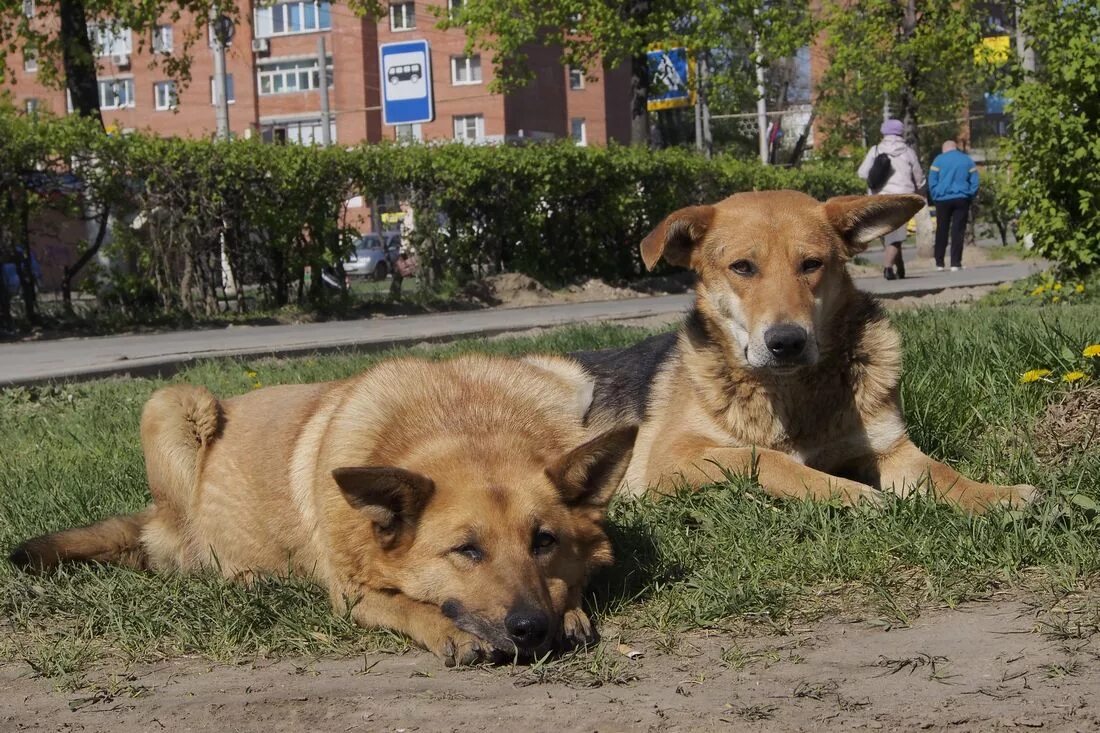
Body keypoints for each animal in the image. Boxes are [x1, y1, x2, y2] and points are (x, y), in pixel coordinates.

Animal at [10, 352, 638, 660]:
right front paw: (446, 627)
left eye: (544, 541)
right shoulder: (350, 590)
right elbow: (404, 603)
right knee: (190, 556)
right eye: (467, 550)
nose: (530, 628)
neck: (466, 418)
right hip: (173, 404)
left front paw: (571, 611)